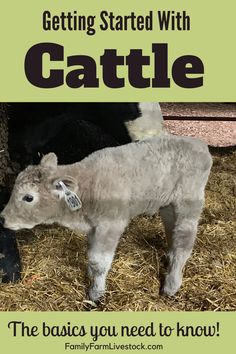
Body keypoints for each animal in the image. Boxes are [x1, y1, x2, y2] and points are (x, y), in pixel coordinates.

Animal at [0, 136, 212, 302]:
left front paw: (96, 293)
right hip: (168, 204)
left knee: (184, 241)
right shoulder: (94, 227)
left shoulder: (110, 225)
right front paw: (90, 275)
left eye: (28, 197)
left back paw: (171, 284)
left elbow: (99, 262)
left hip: (189, 202)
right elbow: (91, 254)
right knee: (171, 228)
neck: (87, 188)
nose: (2, 219)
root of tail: (200, 144)